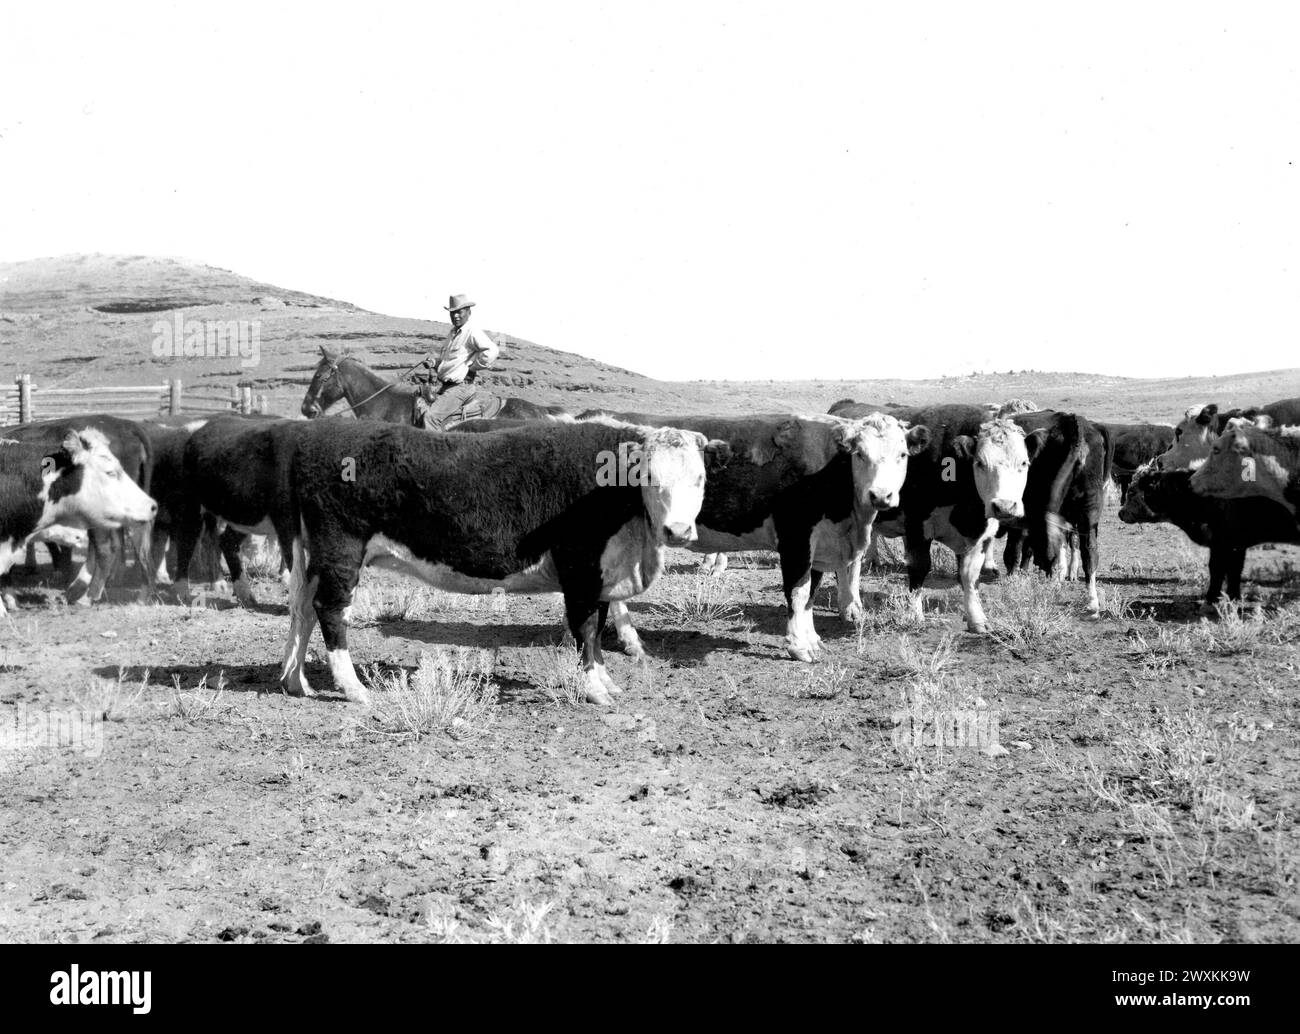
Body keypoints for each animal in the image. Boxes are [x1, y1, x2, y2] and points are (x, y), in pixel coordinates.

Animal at [280, 416, 728, 707]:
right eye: (650, 477)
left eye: (700, 479)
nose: (678, 531)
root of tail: (315, 436)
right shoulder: (580, 569)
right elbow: (585, 629)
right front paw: (595, 690)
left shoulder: (602, 575)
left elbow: (599, 630)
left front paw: (606, 679)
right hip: (341, 550)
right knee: (329, 610)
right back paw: (353, 688)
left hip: (317, 557)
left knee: (302, 608)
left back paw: (294, 681)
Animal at [574, 408, 930, 658]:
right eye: (860, 454)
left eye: (902, 455)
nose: (881, 495)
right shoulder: (795, 537)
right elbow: (797, 591)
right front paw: (799, 646)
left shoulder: (819, 544)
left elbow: (811, 592)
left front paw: (813, 638)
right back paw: (625, 638)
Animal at [1118, 463, 1300, 613]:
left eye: (1132, 492)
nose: (1120, 513)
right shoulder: (1228, 545)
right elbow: (1226, 571)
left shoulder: (1228, 544)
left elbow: (1222, 571)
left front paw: (1215, 602)